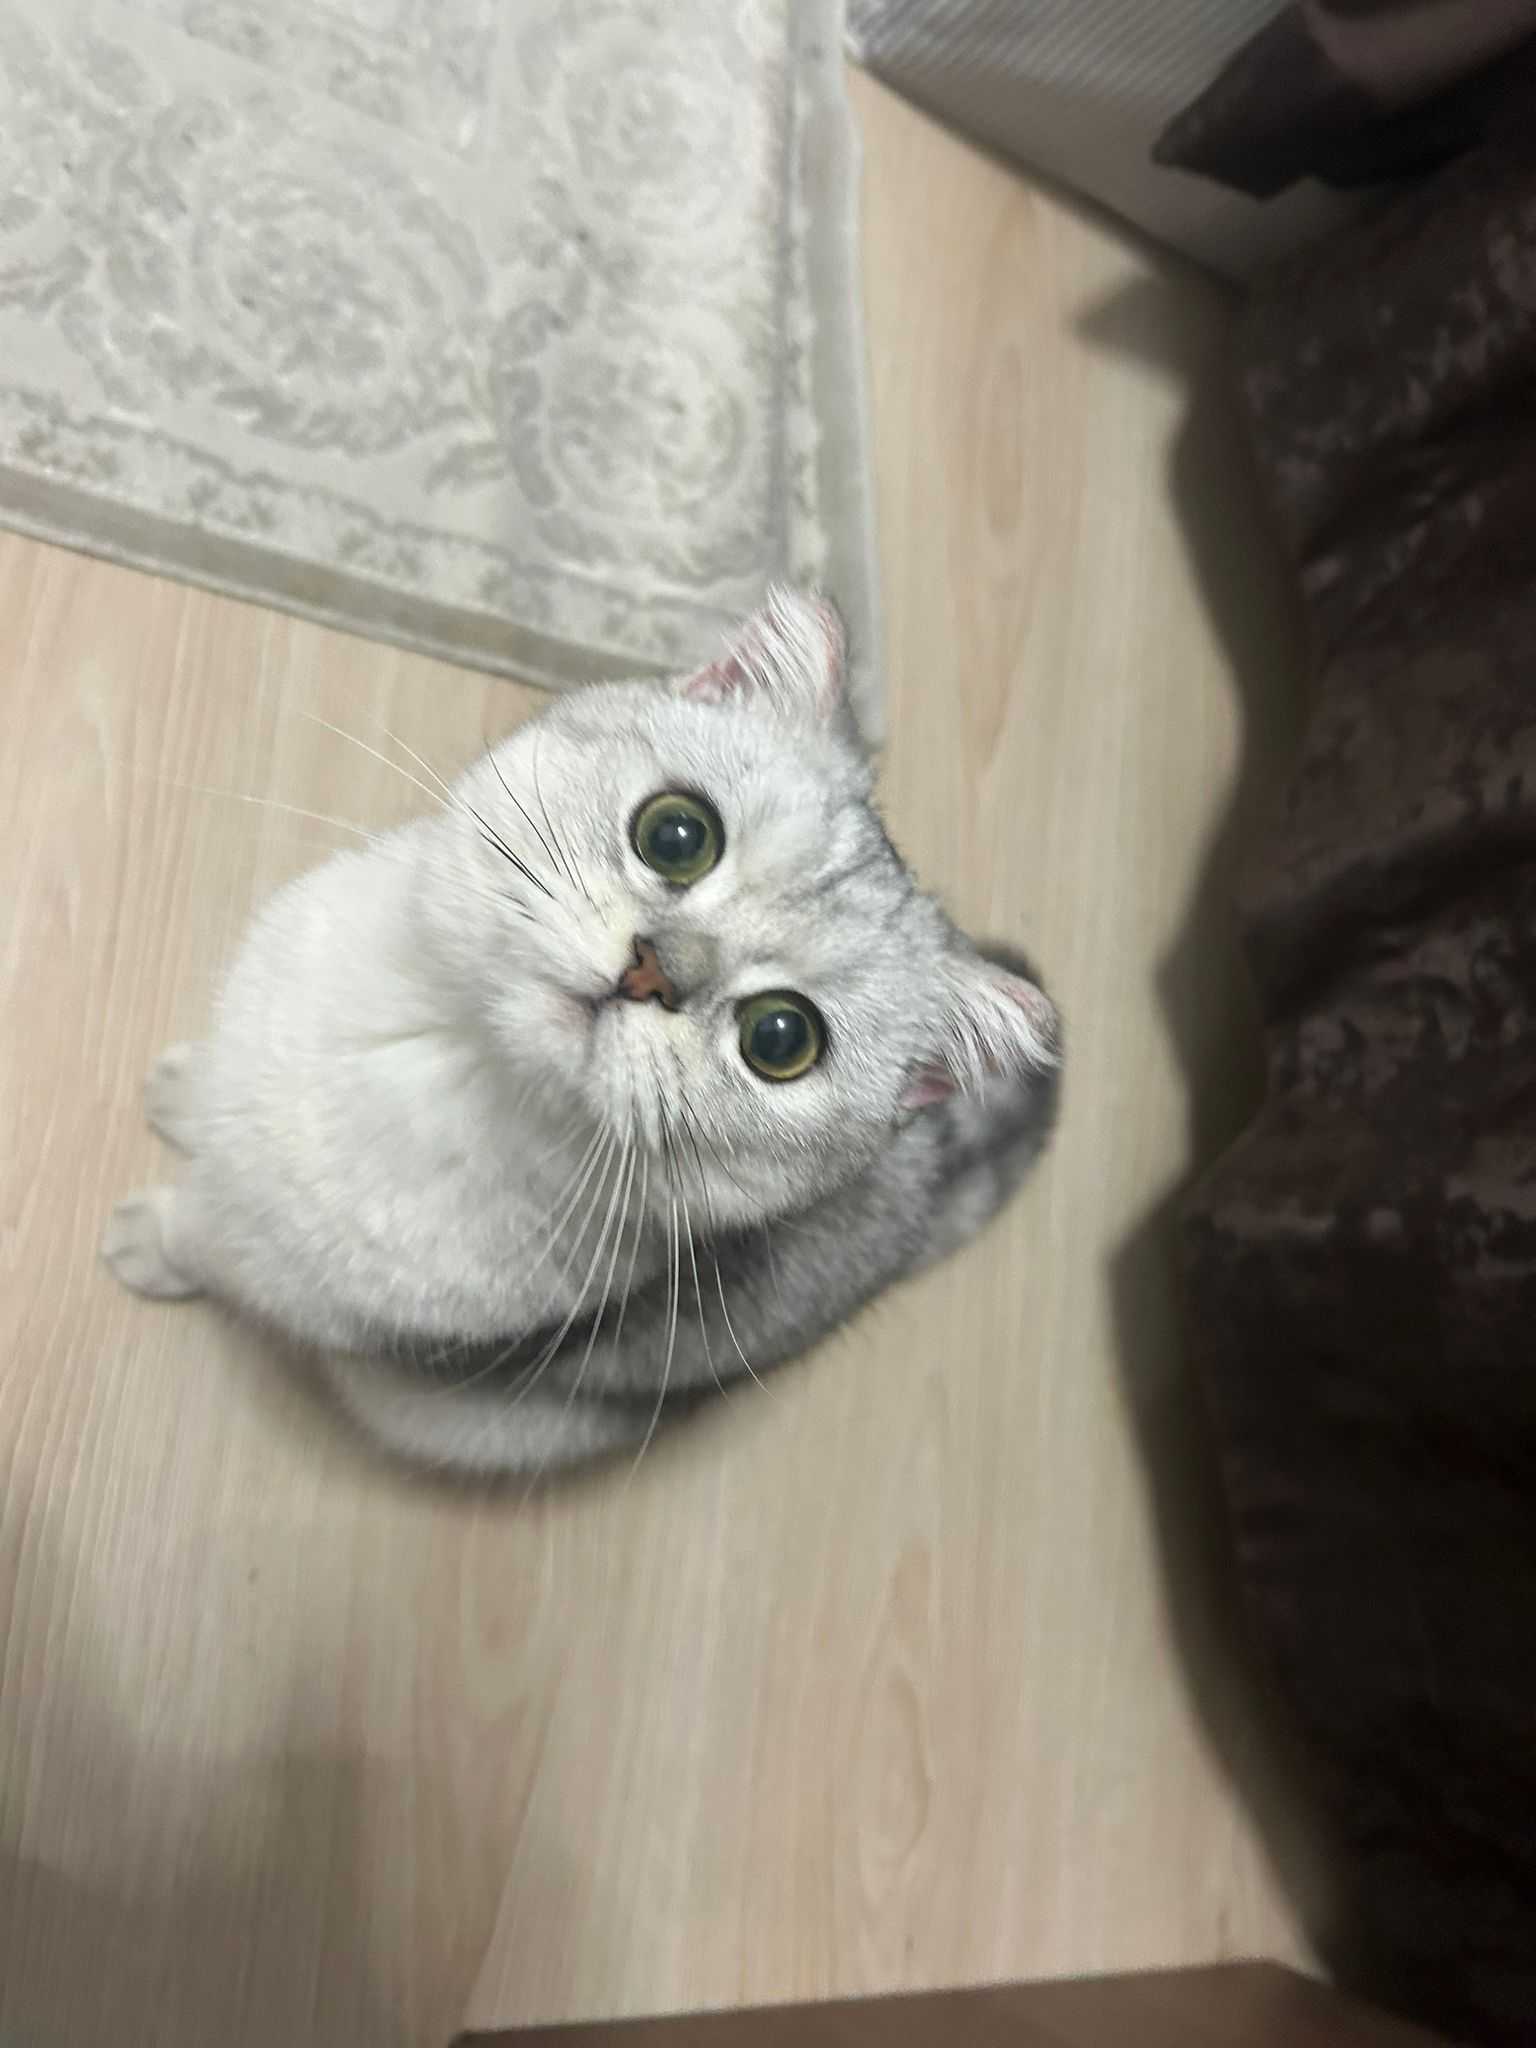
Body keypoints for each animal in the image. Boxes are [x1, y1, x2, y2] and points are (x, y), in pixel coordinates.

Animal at [101, 590, 1060, 1475]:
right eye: (677, 833)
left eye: (782, 1039)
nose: (654, 970)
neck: (445, 1055)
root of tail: (933, 1176)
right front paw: (188, 1091)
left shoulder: (304, 1282)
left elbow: (208, 1237)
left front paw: (148, 1240)